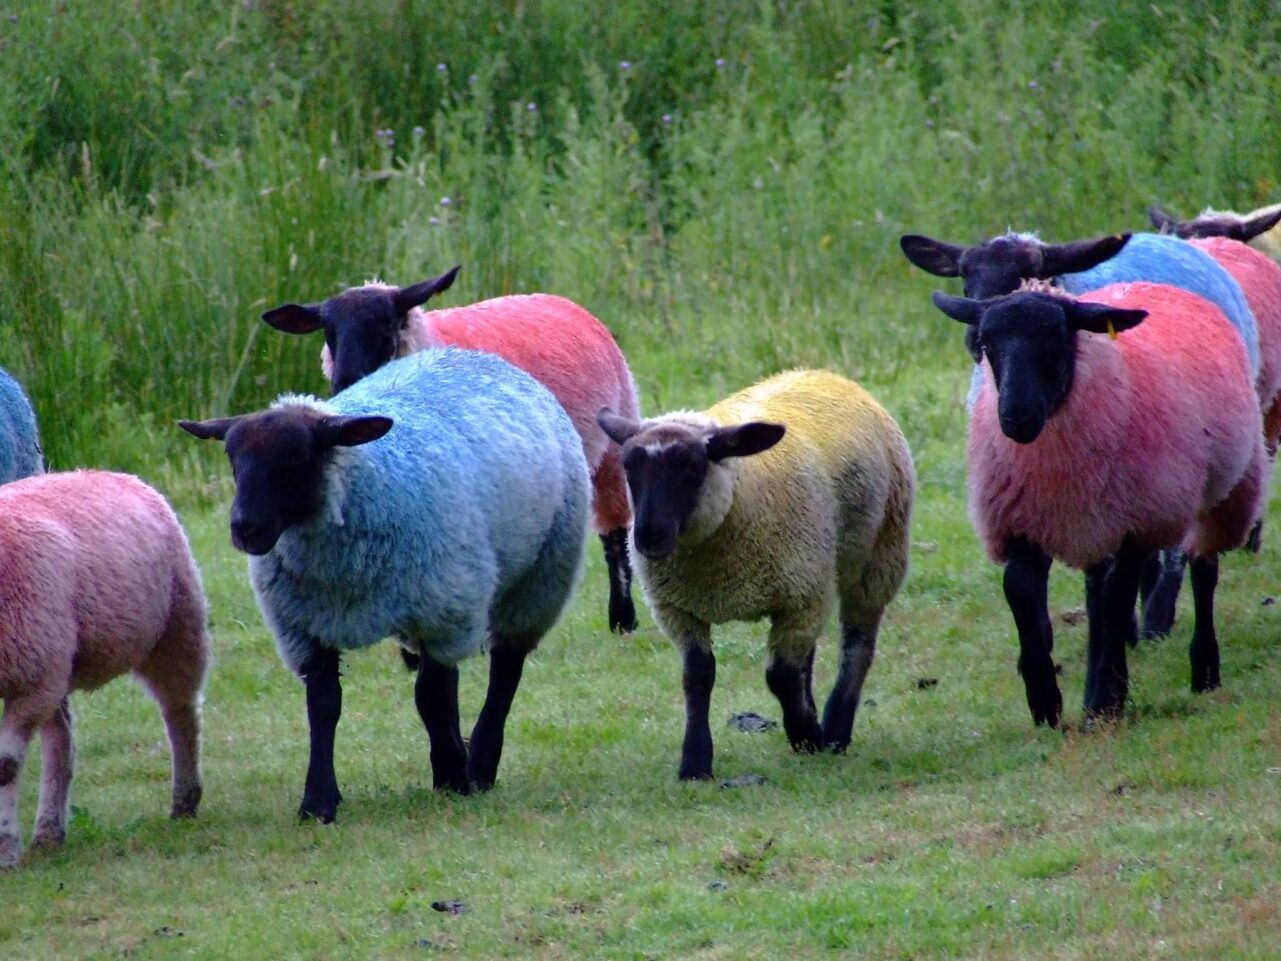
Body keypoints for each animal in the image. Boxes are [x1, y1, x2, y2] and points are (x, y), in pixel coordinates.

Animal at [0, 470, 209, 868]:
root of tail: (111, 472)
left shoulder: (31, 681)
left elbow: (4, 766)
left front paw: (5, 850)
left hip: (175, 626)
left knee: (181, 713)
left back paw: (185, 801)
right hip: (60, 664)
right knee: (62, 739)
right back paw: (49, 832)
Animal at [180, 347, 589, 821]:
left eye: (296, 456)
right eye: (232, 458)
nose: (244, 528)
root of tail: (472, 354)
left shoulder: (442, 607)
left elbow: (429, 696)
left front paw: (454, 778)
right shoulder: (305, 628)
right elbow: (324, 705)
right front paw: (319, 802)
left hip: (535, 578)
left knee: (505, 667)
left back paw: (481, 764)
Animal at [260, 267, 642, 636]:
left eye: (385, 324)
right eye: (329, 331)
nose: (346, 381)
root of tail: (560, 300)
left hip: (609, 446)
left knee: (614, 533)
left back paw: (622, 618)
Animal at [597, 369, 914, 781]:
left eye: (693, 467)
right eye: (629, 469)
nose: (649, 536)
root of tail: (820, 372)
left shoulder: (799, 597)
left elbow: (780, 675)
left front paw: (807, 736)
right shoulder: (677, 609)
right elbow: (697, 676)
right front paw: (695, 763)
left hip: (876, 557)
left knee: (857, 644)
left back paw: (836, 730)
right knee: (808, 655)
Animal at [931, 281, 1266, 725]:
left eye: (1056, 339)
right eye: (986, 343)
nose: (1016, 417)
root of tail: (1156, 284)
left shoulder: (1134, 525)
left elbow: (1116, 599)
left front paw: (1104, 700)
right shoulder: (1022, 522)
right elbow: (1021, 593)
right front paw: (1045, 701)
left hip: (1222, 491)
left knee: (1202, 571)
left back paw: (1205, 670)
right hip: (1097, 516)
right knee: (1097, 591)